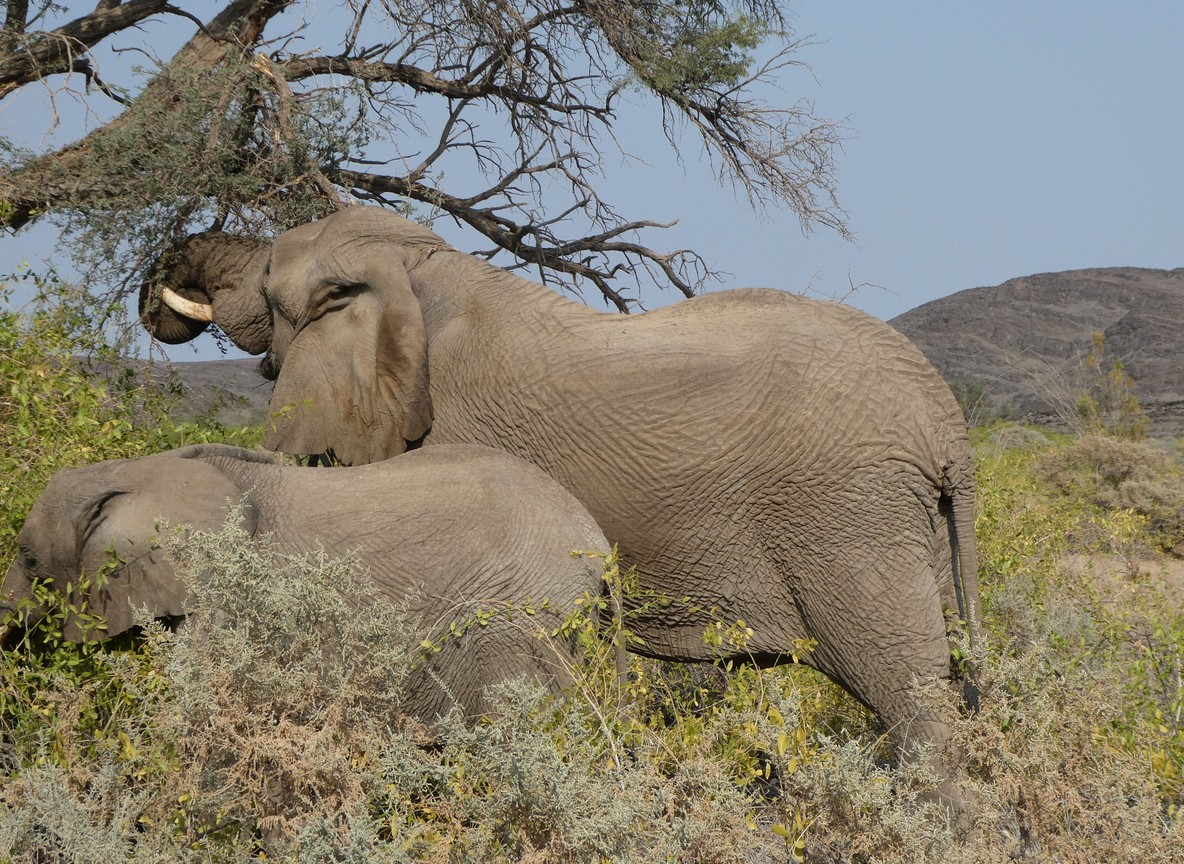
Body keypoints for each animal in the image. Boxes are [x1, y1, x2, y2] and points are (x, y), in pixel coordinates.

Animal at [140, 205, 982, 802]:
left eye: (272, 284)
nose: (162, 292)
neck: (418, 266)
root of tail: (945, 423)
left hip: (851, 518)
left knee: (910, 698)